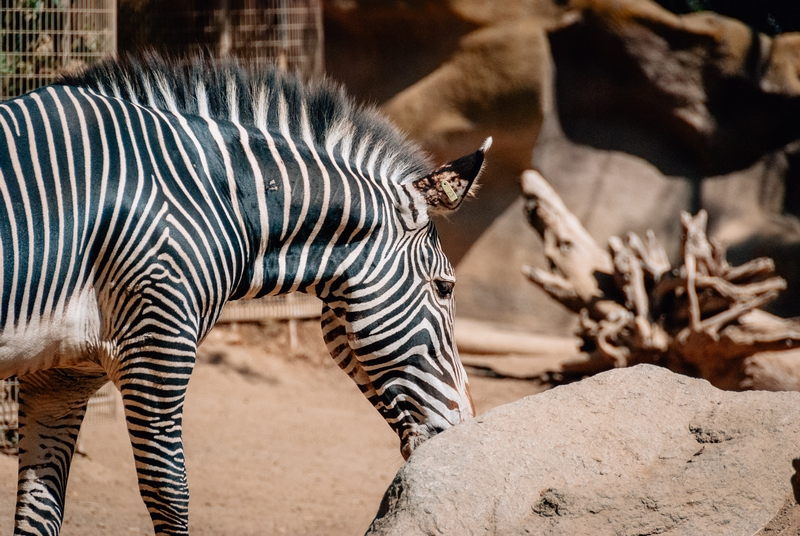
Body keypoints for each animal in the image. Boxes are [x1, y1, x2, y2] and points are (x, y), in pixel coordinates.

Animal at [0, 55, 488, 536]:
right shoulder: (156, 346)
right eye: (444, 287)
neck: (211, 197)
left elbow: (40, 507)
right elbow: (169, 490)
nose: (462, 434)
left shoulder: (61, 376)